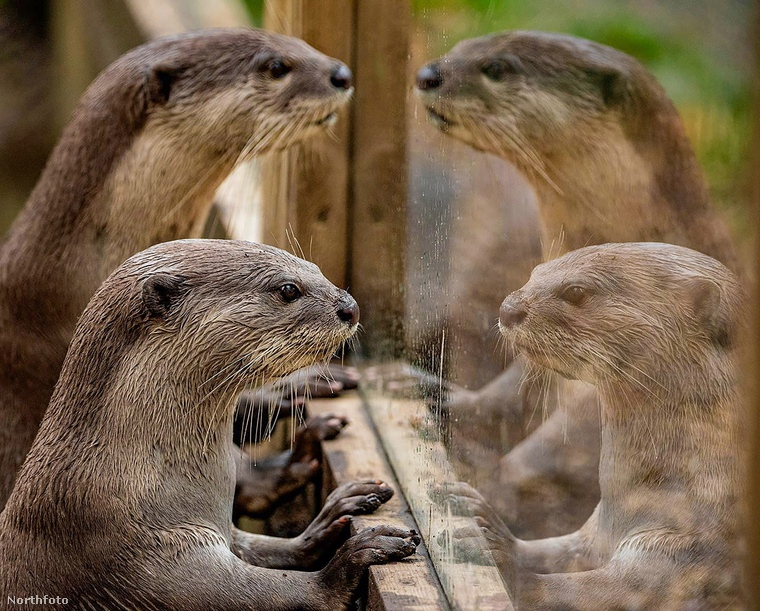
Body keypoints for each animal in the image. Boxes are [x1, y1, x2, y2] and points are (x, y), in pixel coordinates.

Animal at [0, 240, 418, 611]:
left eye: (315, 269)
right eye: (288, 289)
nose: (350, 307)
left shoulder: (218, 528)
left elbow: (266, 548)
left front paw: (332, 518)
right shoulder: (145, 555)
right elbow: (260, 594)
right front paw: (352, 560)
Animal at [416, 33, 744, 536]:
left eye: (497, 67)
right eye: (460, 47)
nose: (428, 74)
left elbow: (553, 459)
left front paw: (483, 494)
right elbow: (508, 396)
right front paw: (431, 391)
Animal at [446, 245, 744, 611]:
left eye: (576, 291)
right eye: (535, 272)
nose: (508, 308)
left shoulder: (687, 549)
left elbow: (600, 591)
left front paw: (499, 558)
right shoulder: (596, 531)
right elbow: (561, 549)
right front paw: (482, 514)